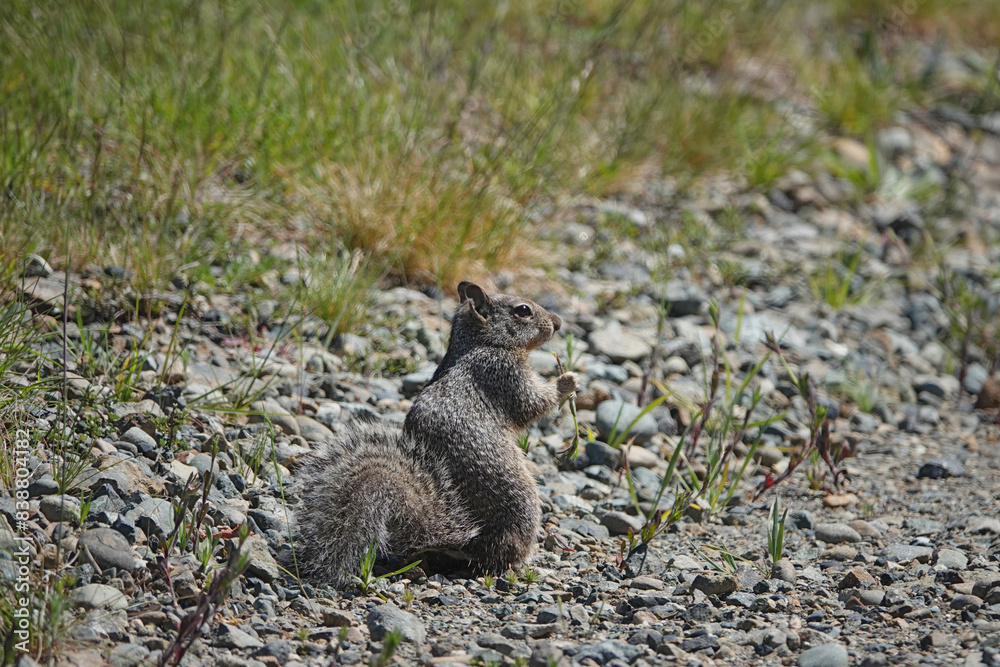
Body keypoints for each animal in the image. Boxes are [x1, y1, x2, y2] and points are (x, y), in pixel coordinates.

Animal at [292, 281, 579, 586]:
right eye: (523, 310)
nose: (558, 323)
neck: (480, 343)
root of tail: (467, 545)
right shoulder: (502, 372)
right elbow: (531, 402)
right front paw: (567, 381)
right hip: (523, 506)